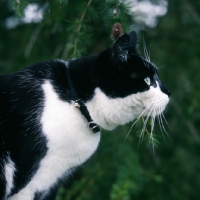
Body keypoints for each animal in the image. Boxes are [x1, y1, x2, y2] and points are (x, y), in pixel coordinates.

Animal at [0, 30, 170, 200]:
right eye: (147, 80)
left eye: (157, 75)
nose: (168, 91)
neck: (76, 103)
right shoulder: (29, 185)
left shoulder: (52, 183)